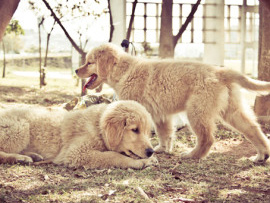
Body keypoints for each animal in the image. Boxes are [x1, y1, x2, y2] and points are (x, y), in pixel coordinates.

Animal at [0, 100, 157, 169]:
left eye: (147, 132)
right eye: (135, 130)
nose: (151, 151)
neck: (98, 126)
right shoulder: (76, 153)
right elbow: (113, 156)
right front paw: (142, 162)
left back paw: (33, 155)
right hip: (20, 128)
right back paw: (20, 158)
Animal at [75, 43, 270, 163]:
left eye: (89, 62)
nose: (76, 70)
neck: (124, 71)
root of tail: (220, 72)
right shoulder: (161, 115)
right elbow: (165, 133)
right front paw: (162, 149)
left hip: (196, 111)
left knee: (207, 138)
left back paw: (192, 155)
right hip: (232, 111)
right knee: (253, 128)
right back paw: (262, 155)